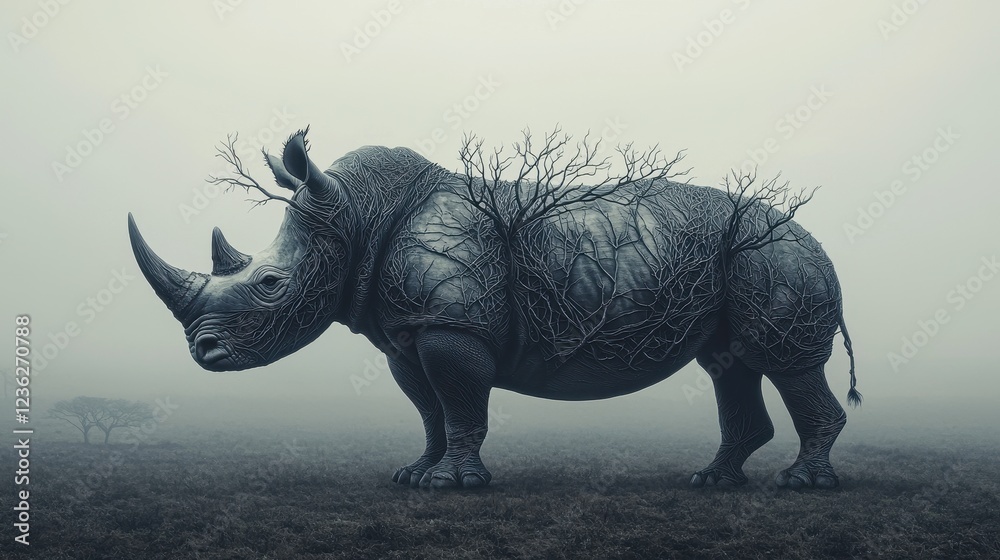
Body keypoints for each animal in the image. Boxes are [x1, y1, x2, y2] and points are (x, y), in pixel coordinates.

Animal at [128, 128, 860, 490]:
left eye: (271, 283)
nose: (204, 352)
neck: (356, 216)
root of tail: (811, 236)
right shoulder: (406, 332)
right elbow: (429, 411)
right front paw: (413, 476)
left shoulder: (452, 325)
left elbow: (458, 403)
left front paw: (452, 485)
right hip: (747, 257)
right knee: (730, 364)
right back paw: (711, 482)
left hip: (777, 256)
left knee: (785, 364)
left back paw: (801, 485)